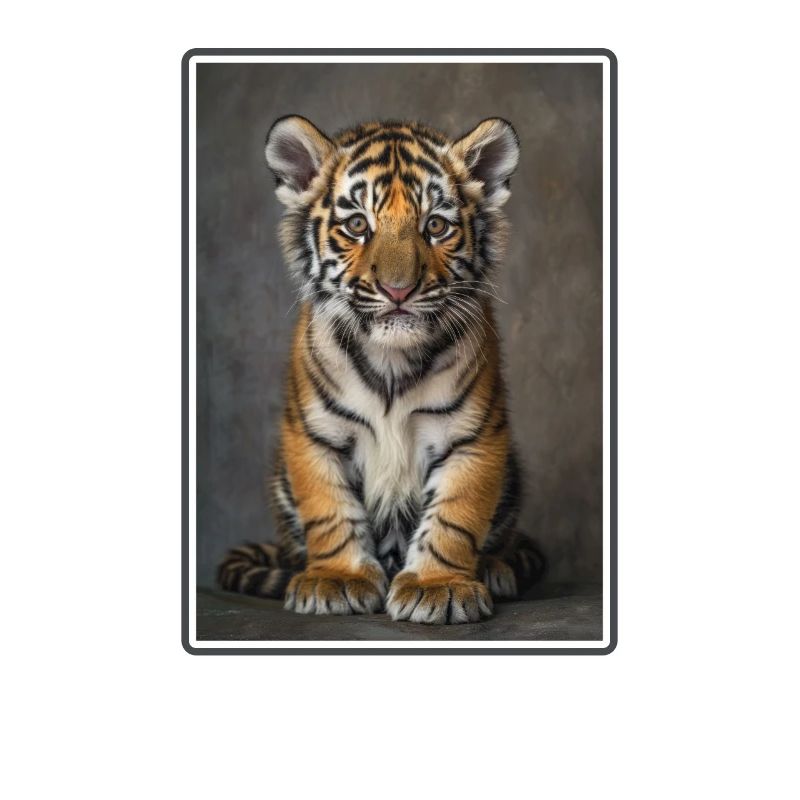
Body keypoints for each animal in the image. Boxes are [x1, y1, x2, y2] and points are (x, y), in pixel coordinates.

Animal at [217, 115, 545, 624]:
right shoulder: (314, 434)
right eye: (357, 225)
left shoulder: (474, 436)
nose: (398, 290)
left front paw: (437, 586)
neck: (392, 361)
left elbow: (455, 516)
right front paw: (336, 579)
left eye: (435, 226)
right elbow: (329, 511)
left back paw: (494, 569)